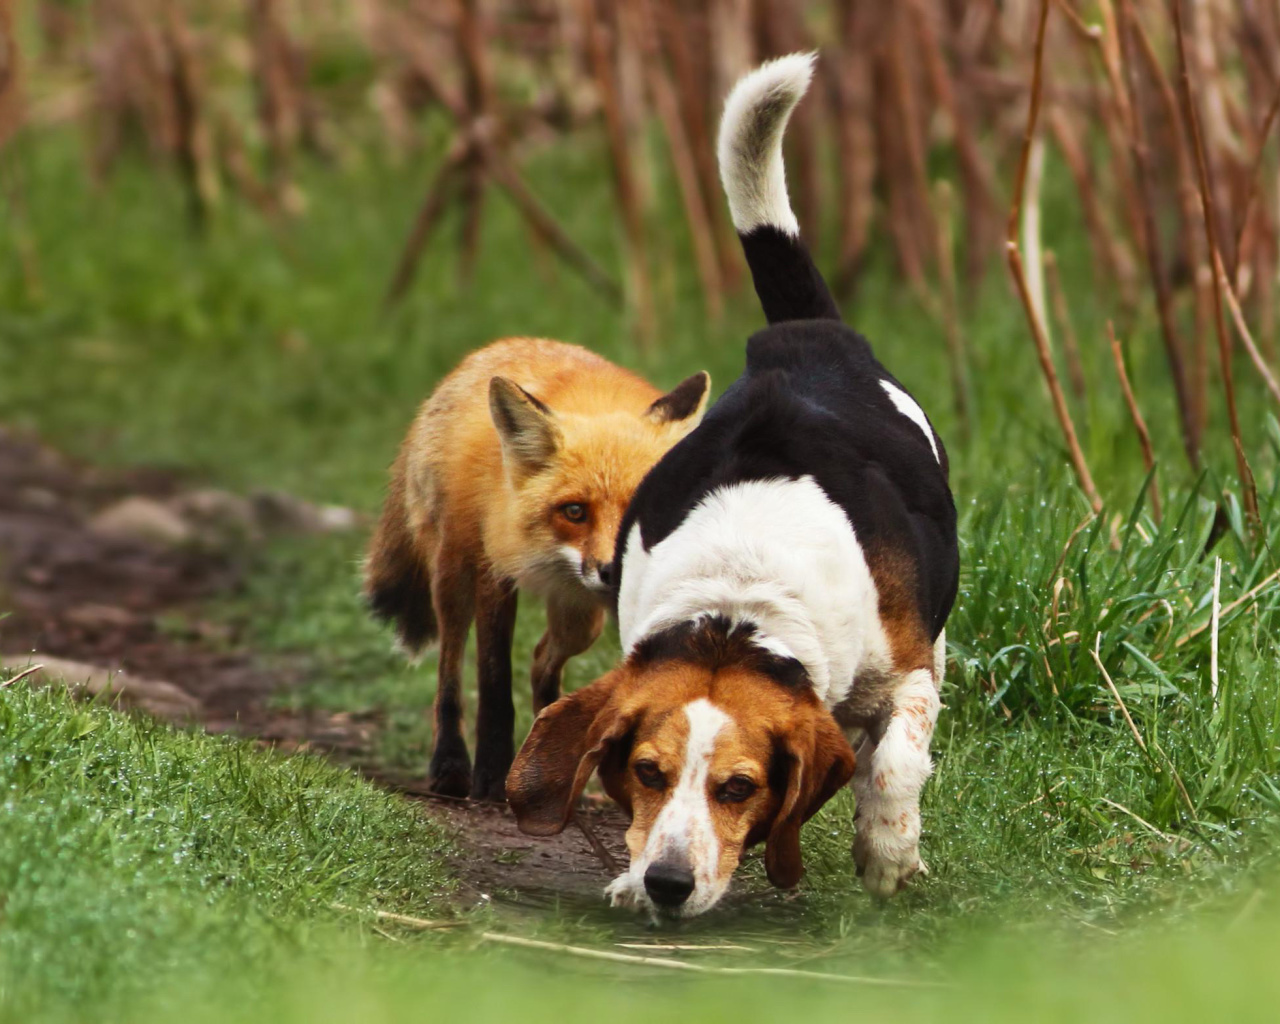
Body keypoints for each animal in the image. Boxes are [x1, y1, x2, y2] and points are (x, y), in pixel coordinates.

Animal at [366, 340, 711, 803]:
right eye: (575, 512)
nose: (613, 572)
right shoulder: (494, 571)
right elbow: (494, 683)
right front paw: (491, 777)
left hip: (581, 620)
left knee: (541, 660)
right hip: (452, 575)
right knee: (450, 668)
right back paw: (451, 765)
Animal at [504, 56, 957, 916]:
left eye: (739, 787)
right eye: (646, 773)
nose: (668, 884)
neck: (737, 608)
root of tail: (802, 337)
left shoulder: (905, 671)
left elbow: (895, 761)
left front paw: (888, 851)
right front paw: (629, 875)